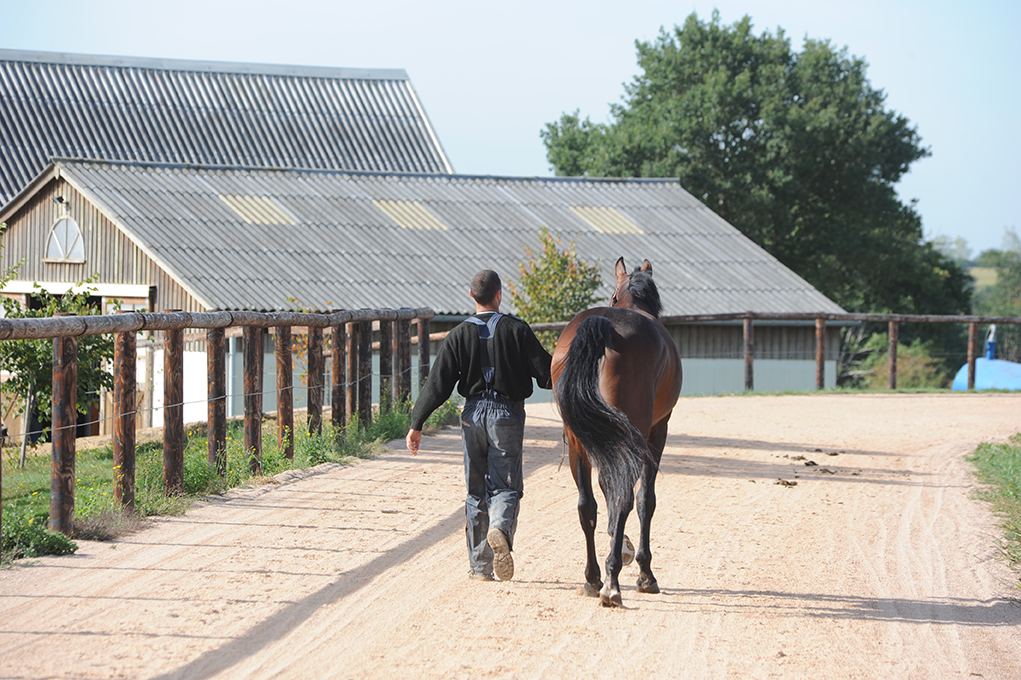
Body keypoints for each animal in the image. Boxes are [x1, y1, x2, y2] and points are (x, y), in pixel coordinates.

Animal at [551, 257, 677, 604]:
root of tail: (604, 327)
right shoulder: (657, 431)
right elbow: (646, 500)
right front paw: (645, 572)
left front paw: (620, 547)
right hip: (632, 434)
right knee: (625, 499)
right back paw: (613, 584)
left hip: (578, 439)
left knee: (587, 506)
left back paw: (594, 578)